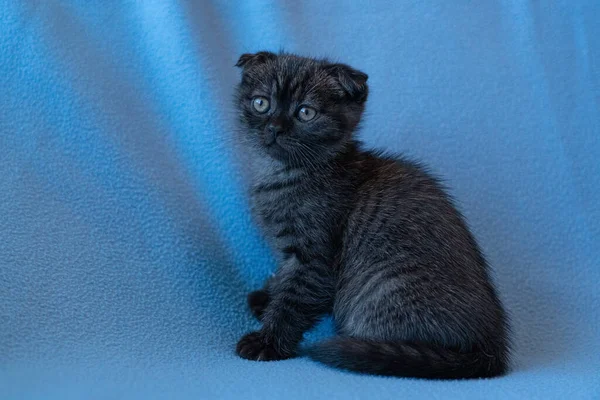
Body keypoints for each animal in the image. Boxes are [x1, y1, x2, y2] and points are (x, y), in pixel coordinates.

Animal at [234, 51, 510, 380]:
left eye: (305, 113)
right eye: (261, 103)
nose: (275, 127)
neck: (282, 173)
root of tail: (491, 350)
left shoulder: (315, 259)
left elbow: (294, 299)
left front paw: (267, 342)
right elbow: (284, 281)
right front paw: (266, 298)